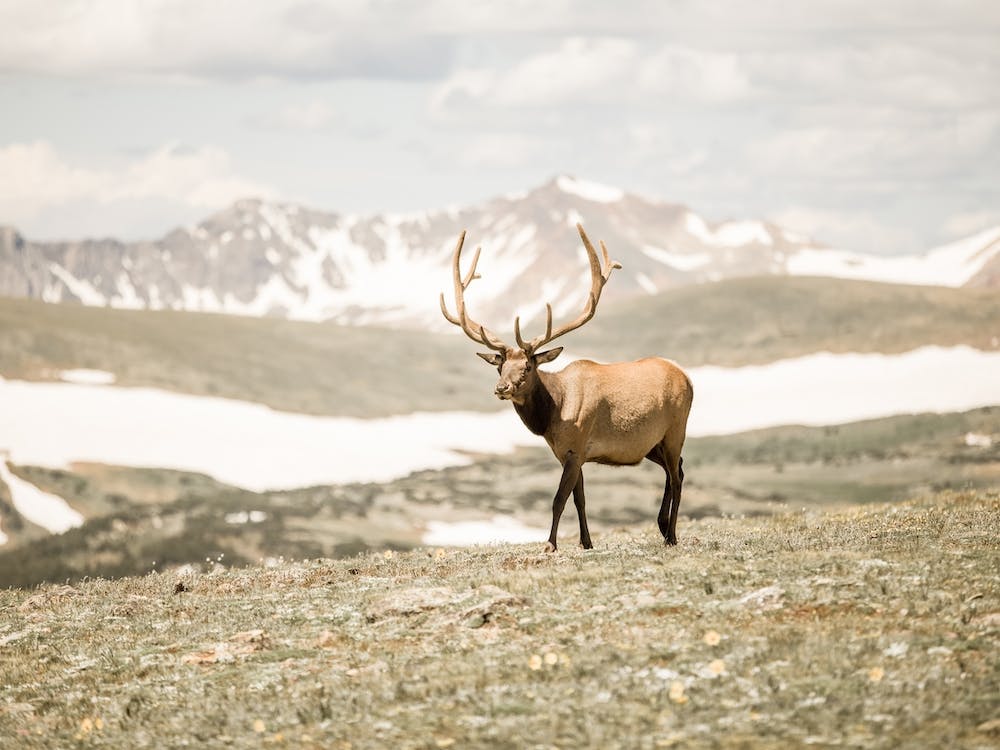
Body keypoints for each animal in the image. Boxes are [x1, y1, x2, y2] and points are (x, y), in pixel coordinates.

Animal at [440, 223, 694, 551]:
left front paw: (550, 544)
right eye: (499, 366)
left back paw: (672, 535)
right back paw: (662, 526)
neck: (553, 415)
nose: (501, 388)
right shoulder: (569, 453)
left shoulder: (576, 446)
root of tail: (687, 377)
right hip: (651, 444)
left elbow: (559, 499)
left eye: (528, 366)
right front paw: (586, 542)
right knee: (677, 469)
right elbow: (580, 499)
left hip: (676, 430)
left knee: (677, 476)